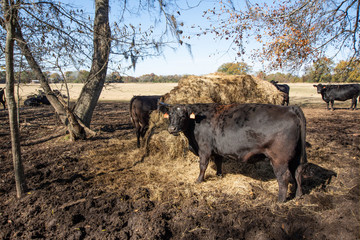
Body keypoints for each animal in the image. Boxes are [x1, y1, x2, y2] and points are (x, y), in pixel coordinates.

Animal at [160, 103, 306, 202]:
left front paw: (199, 180)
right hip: (296, 156)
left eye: (182, 116)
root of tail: (290, 108)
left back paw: (280, 200)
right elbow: (218, 162)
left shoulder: (204, 148)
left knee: (284, 177)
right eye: (170, 115)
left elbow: (203, 166)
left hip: (279, 159)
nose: (172, 129)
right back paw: (298, 195)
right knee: (298, 172)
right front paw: (219, 175)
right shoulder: (217, 149)